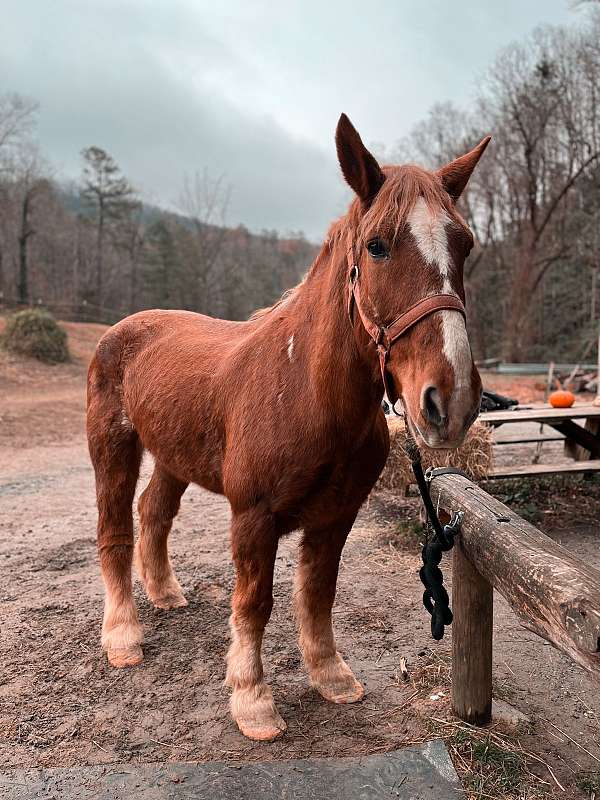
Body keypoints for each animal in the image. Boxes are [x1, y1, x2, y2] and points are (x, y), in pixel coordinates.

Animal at [90, 114, 492, 744]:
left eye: (465, 244)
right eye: (377, 246)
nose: (449, 400)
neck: (306, 392)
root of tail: (123, 330)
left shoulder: (336, 515)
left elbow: (318, 593)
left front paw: (330, 676)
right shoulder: (253, 517)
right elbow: (254, 602)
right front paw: (252, 701)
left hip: (174, 457)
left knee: (154, 512)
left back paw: (166, 594)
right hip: (113, 449)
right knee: (114, 531)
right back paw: (124, 635)